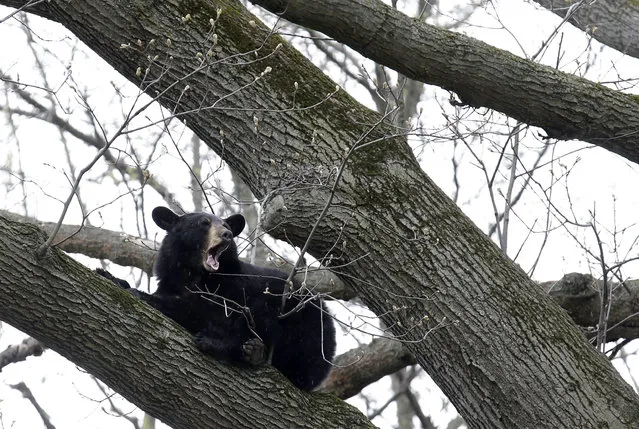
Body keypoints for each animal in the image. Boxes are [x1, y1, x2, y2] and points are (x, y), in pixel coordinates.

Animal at [99, 206, 336, 390]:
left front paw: (144, 296)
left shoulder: (233, 288)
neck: (194, 274)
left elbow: (204, 311)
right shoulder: (170, 281)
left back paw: (236, 348)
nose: (227, 234)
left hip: (304, 329)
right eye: (204, 223)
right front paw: (110, 277)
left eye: (226, 225)